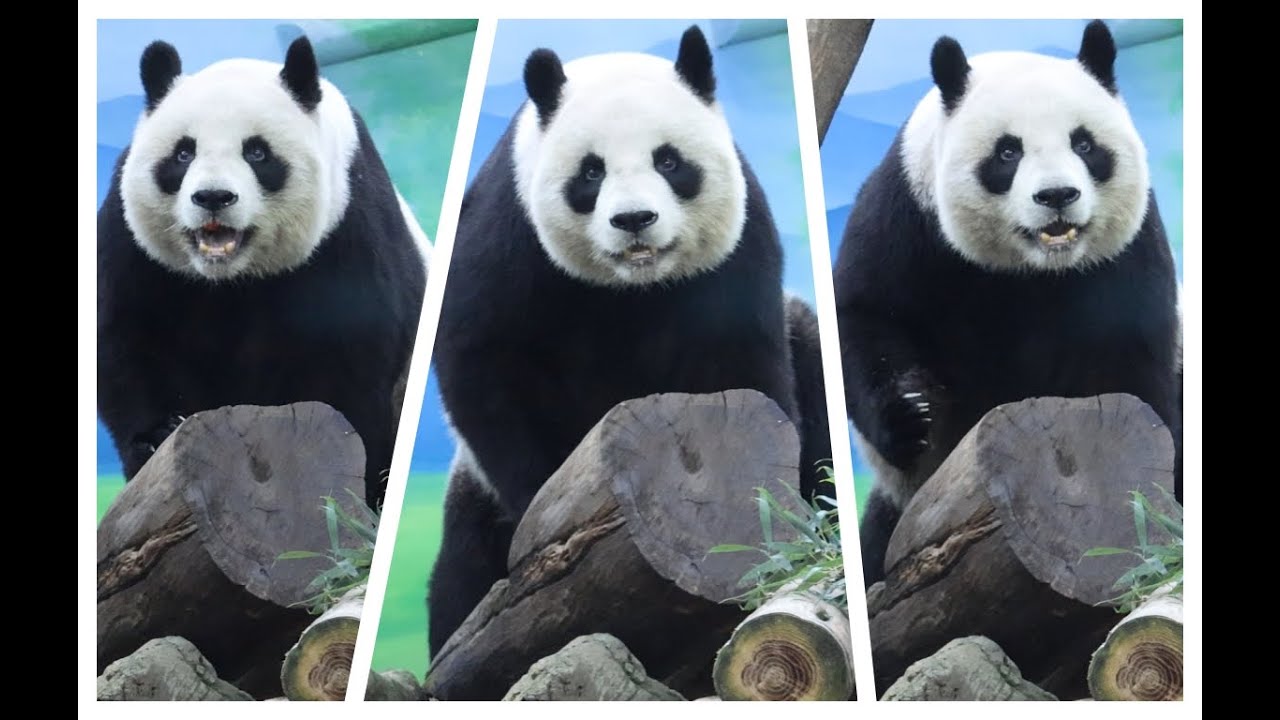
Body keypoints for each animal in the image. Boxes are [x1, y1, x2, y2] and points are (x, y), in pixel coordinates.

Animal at [97, 36, 428, 508]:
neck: (231, 278)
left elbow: (349, 357)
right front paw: (157, 435)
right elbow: (130, 337)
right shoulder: (135, 244)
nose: (213, 197)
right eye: (183, 152)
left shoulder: (348, 225)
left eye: (256, 152)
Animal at [427, 25, 831, 660]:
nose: (634, 219)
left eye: (668, 161)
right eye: (590, 173)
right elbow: (484, 363)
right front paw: (543, 513)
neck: (631, 285)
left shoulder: (733, 252)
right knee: (460, 574)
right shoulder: (508, 235)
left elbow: (743, 371)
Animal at [833, 21, 1181, 586]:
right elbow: (864, 317)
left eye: (1084, 143)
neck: (1034, 269)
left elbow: (1128, 371)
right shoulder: (909, 214)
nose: (1057, 195)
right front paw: (912, 412)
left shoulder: (1124, 255)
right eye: (1007, 152)